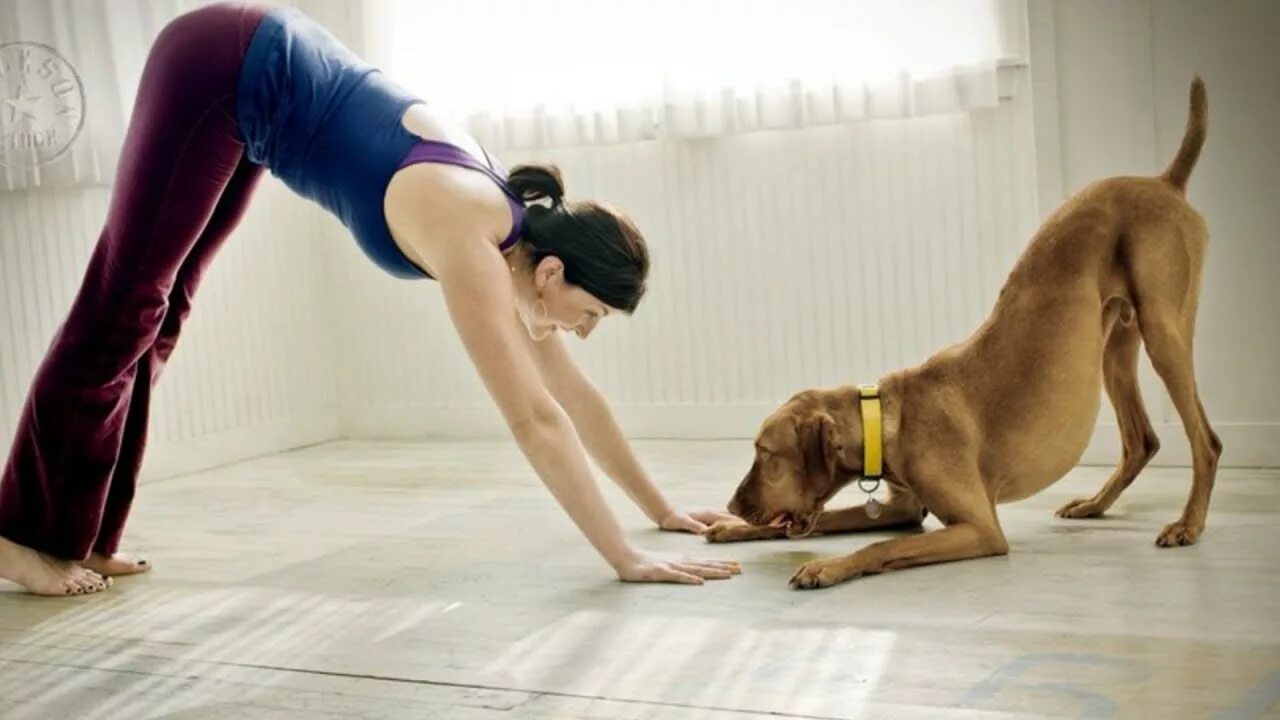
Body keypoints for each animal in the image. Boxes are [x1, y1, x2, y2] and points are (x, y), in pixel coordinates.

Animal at [711, 75, 1218, 586]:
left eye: (765, 453)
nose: (733, 503)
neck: (887, 418)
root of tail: (1165, 182)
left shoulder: (980, 527)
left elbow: (878, 546)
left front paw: (826, 566)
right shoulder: (903, 510)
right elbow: (832, 521)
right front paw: (733, 528)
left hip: (1163, 331)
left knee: (1207, 442)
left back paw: (1188, 524)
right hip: (1113, 348)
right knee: (1141, 440)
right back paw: (1096, 504)